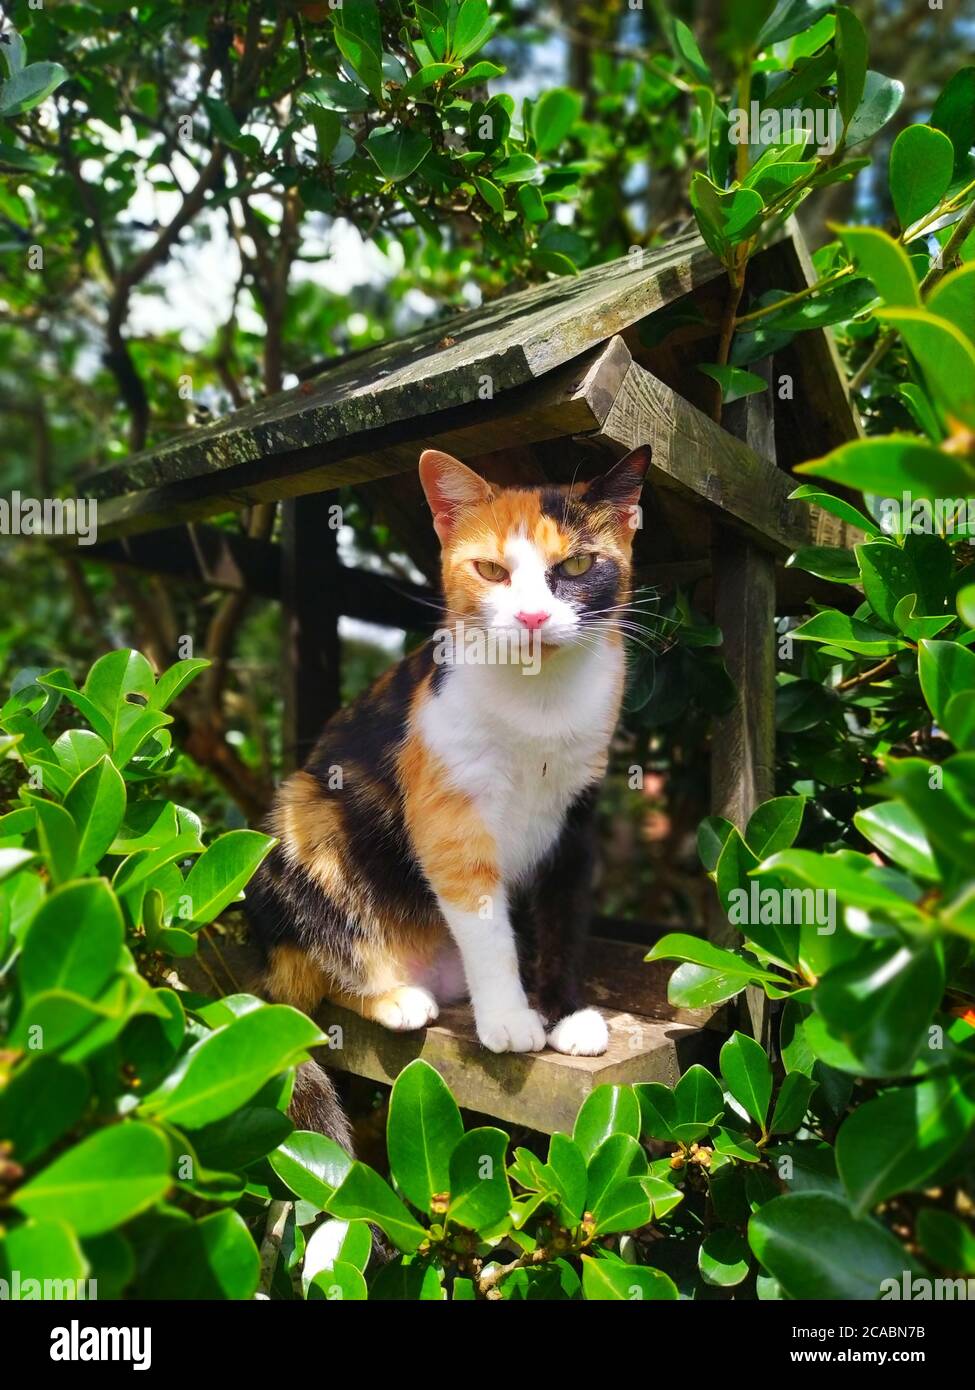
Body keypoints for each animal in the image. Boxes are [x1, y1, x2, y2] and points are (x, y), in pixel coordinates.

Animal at [247, 439, 650, 1078]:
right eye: (492, 571)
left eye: (577, 567)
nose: (533, 618)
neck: (538, 708)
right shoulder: (449, 810)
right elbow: (484, 922)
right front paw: (510, 1020)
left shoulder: (576, 815)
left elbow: (563, 917)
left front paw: (566, 1015)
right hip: (303, 815)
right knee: (311, 983)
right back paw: (395, 997)